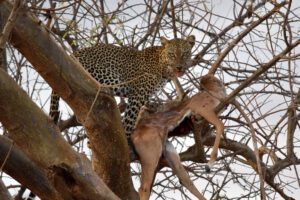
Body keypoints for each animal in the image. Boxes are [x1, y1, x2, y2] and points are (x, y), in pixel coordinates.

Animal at [50, 35, 196, 138]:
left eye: (185, 54)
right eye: (172, 54)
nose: (179, 67)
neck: (163, 69)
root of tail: (71, 54)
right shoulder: (138, 94)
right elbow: (130, 118)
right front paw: (127, 136)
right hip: (107, 77)